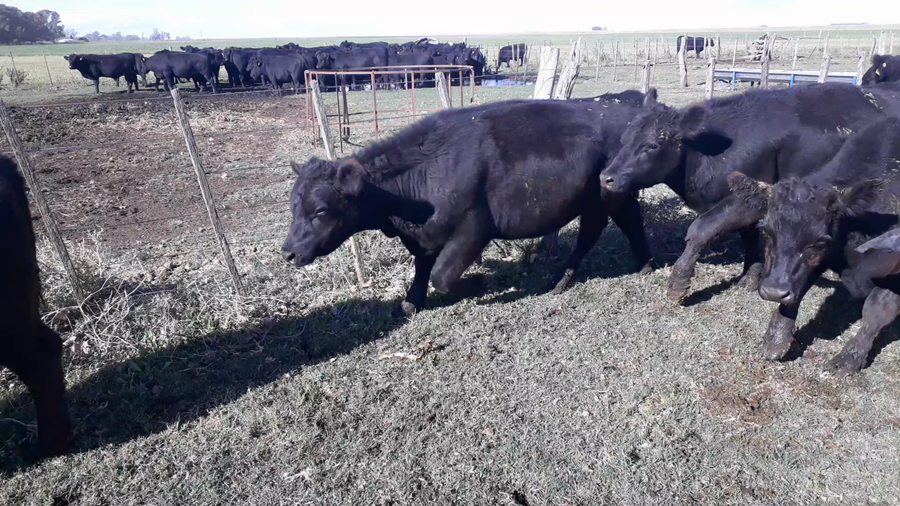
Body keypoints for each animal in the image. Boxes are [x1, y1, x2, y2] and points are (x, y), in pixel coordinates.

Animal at [282, 97, 656, 317]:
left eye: (320, 210)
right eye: (293, 206)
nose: (288, 252)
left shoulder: (473, 228)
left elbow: (442, 276)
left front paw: (478, 285)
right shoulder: (425, 235)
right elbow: (423, 268)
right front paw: (411, 301)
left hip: (605, 198)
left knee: (598, 230)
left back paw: (573, 276)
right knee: (622, 223)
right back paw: (641, 264)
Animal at [598, 82, 900, 304]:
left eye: (651, 145)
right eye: (624, 139)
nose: (606, 178)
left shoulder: (746, 199)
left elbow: (700, 229)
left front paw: (678, 283)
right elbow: (750, 236)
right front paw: (750, 276)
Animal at [727, 117, 900, 370]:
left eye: (819, 241)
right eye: (766, 231)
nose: (773, 291)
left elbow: (878, 309)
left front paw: (849, 359)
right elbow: (798, 289)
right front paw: (776, 340)